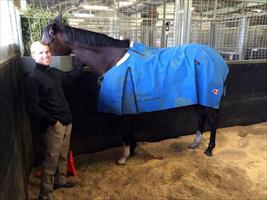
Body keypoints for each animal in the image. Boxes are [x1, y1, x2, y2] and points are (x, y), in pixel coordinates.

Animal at [42, 15, 230, 164]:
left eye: (47, 39)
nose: (40, 56)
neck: (113, 60)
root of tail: (217, 57)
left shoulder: (122, 108)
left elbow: (124, 132)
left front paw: (123, 157)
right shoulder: (128, 105)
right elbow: (130, 130)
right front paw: (132, 151)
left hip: (209, 97)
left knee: (213, 120)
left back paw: (209, 149)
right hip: (198, 97)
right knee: (201, 117)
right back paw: (194, 144)